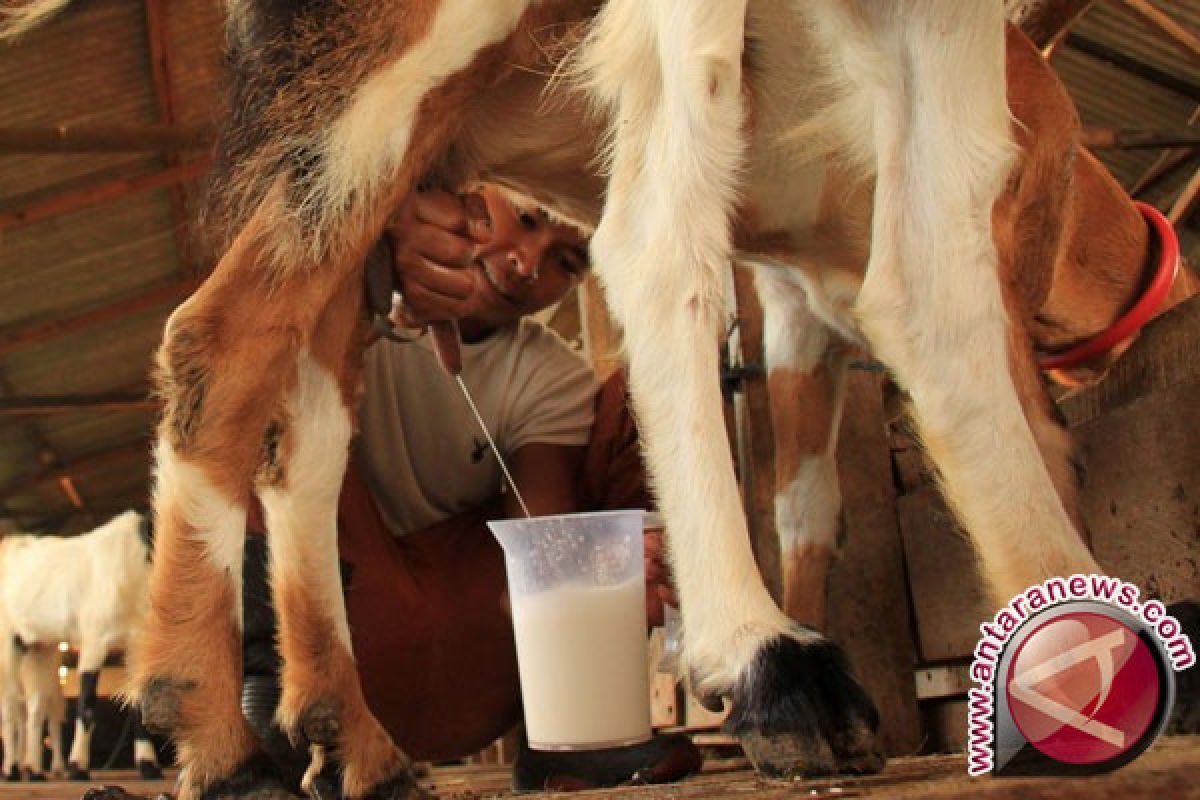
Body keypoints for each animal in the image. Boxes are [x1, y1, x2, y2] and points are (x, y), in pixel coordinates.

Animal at [0, 513, 162, 782]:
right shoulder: (94, 640)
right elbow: (86, 706)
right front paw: (77, 766)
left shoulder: (137, 644)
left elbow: (139, 703)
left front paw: (148, 764)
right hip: (8, 643)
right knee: (11, 705)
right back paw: (11, 770)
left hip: (41, 647)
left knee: (36, 707)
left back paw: (34, 770)